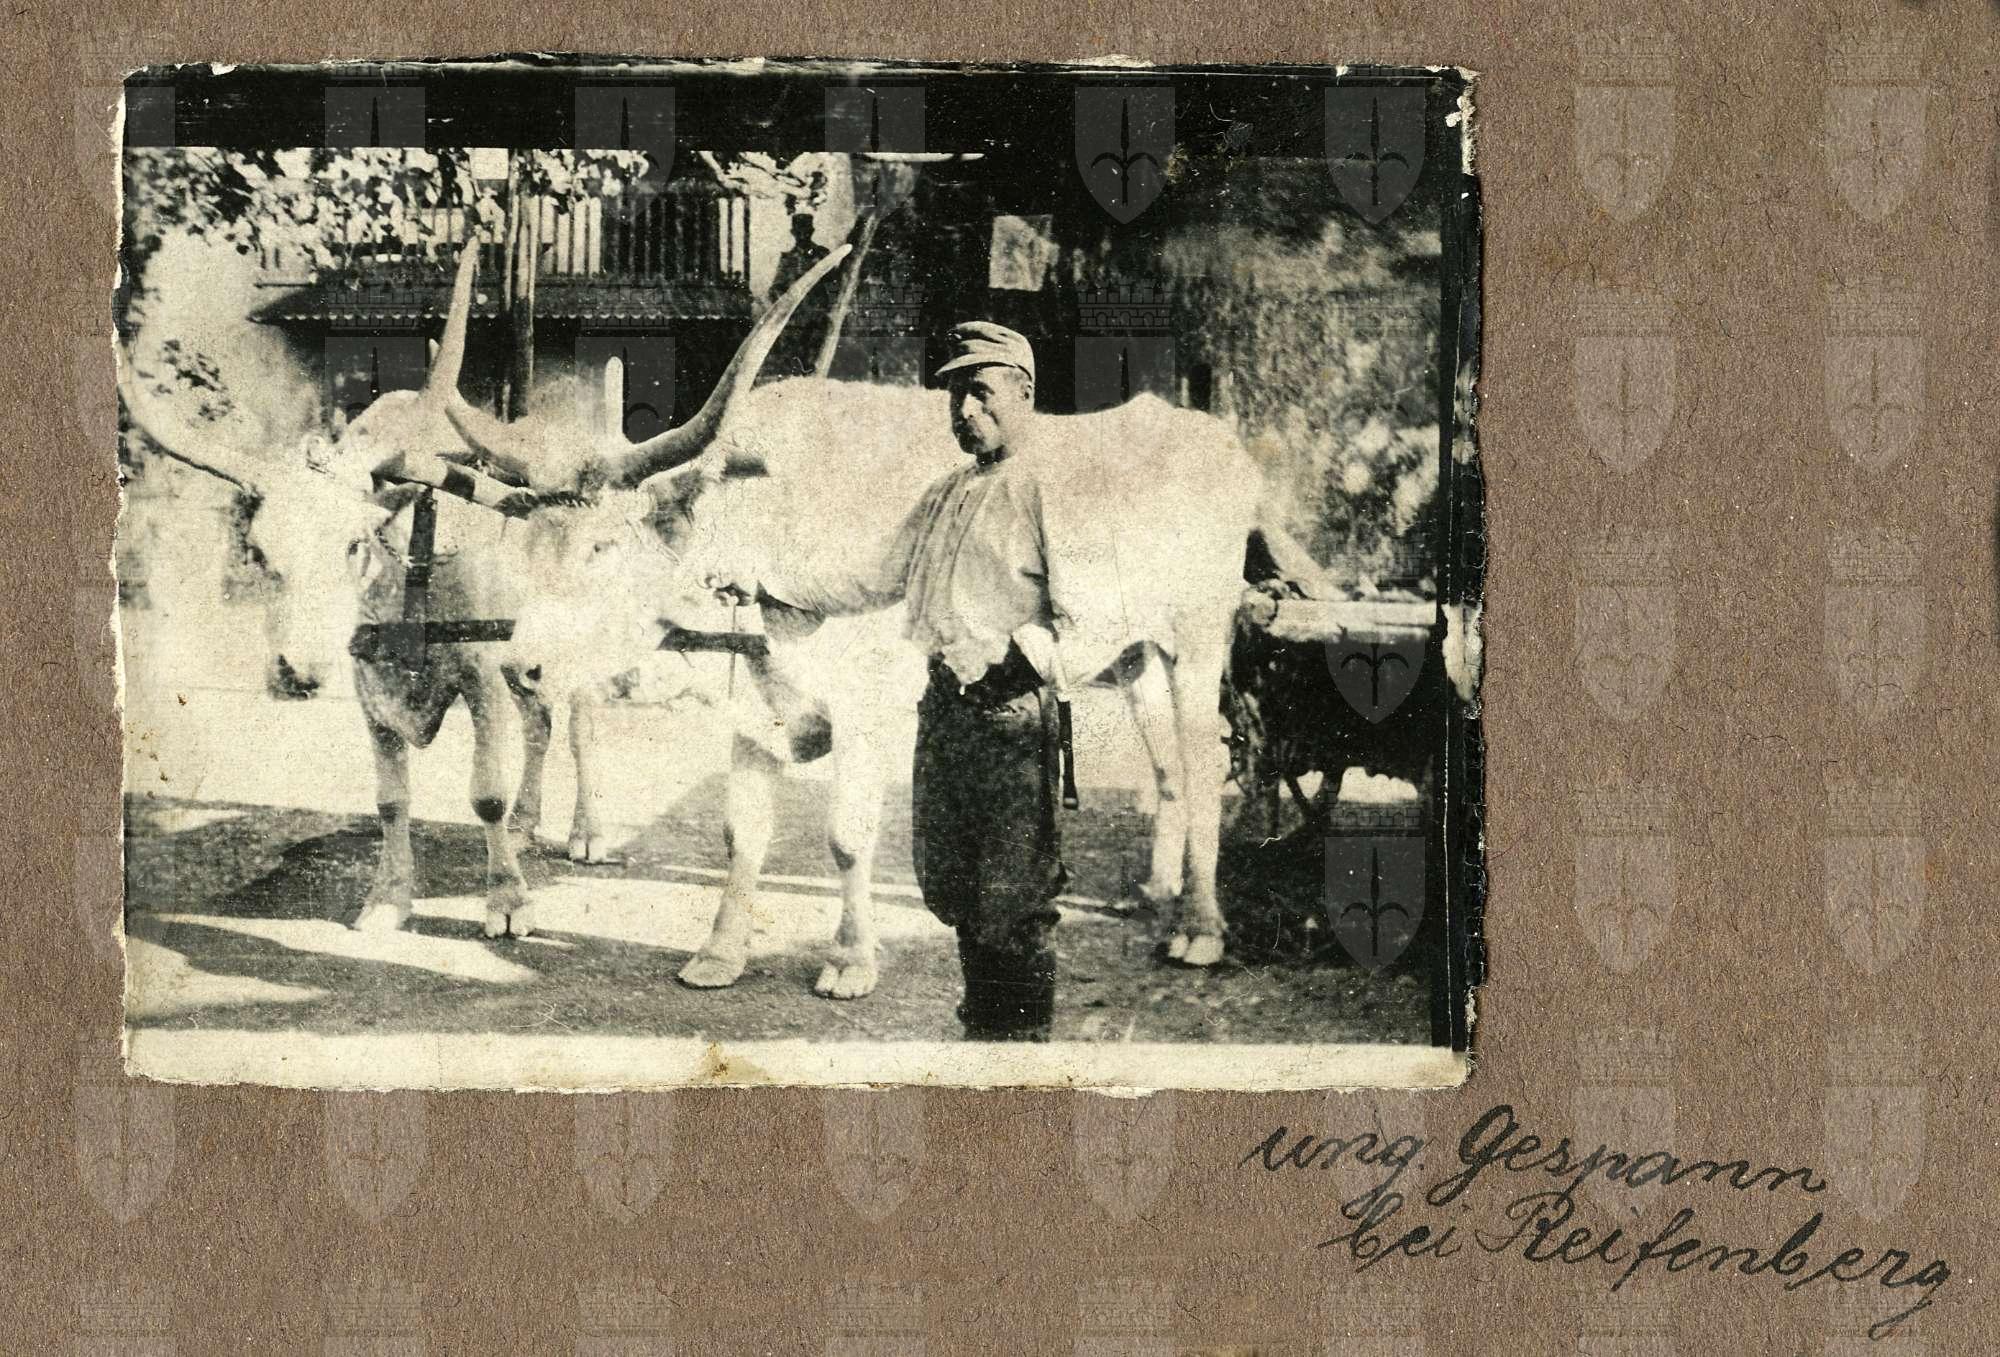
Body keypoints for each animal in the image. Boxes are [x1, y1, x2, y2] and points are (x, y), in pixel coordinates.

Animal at [439, 241, 1326, 995]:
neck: (774, 520)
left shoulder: (866, 715)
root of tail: (1213, 438)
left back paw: (1201, 927)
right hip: (1134, 651)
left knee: (1203, 767)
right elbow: (741, 833)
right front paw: (720, 951)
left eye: (604, 546)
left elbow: (847, 835)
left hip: (1200, 639)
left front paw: (849, 958)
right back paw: (1157, 886)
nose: (523, 665)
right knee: (1170, 768)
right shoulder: (752, 713)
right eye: (529, 544)